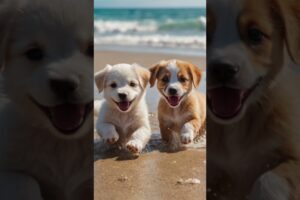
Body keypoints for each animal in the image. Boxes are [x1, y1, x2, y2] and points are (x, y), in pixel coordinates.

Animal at [0, 0, 94, 199]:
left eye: (92, 48)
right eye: (34, 53)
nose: (63, 84)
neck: (66, 144)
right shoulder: (7, 169)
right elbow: (26, 182)